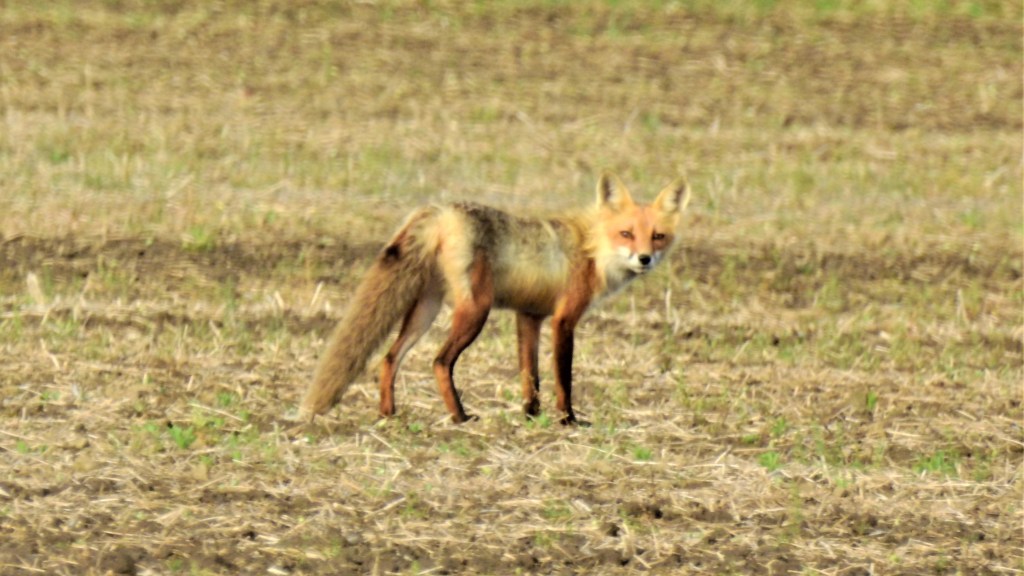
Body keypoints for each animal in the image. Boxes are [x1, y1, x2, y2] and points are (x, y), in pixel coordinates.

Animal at [299, 173, 691, 425]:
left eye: (657, 236)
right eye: (626, 233)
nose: (645, 259)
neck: (591, 247)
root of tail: (442, 210)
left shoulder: (529, 316)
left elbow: (530, 375)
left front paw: (531, 415)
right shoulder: (564, 319)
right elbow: (563, 377)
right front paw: (568, 420)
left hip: (426, 310)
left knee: (389, 358)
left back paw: (388, 414)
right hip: (475, 310)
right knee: (440, 362)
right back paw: (459, 416)